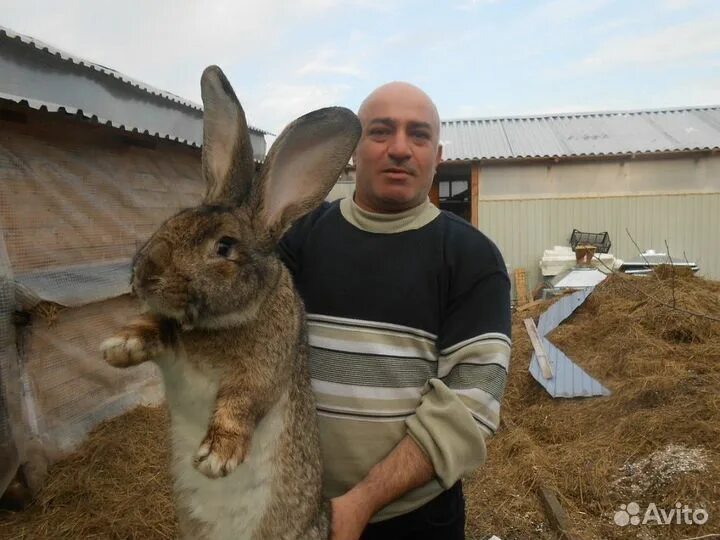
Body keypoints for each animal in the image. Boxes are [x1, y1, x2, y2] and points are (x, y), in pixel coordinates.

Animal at [101, 66, 360, 540]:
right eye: (174, 220)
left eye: (224, 247)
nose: (147, 274)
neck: (216, 323)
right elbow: (154, 328)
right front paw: (120, 346)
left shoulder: (264, 367)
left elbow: (243, 402)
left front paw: (216, 457)